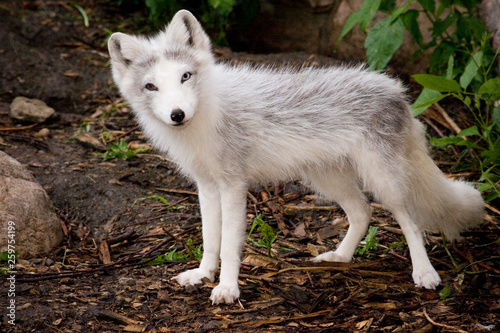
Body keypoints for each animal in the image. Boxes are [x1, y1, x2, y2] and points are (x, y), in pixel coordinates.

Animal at [108, 9, 484, 304]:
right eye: (151, 87)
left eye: (185, 76)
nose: (177, 114)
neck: (206, 118)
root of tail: (397, 90)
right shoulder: (207, 186)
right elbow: (209, 238)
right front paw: (203, 274)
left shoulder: (233, 186)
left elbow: (229, 244)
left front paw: (227, 289)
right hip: (327, 179)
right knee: (363, 213)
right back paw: (341, 257)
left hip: (382, 180)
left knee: (409, 221)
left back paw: (424, 273)